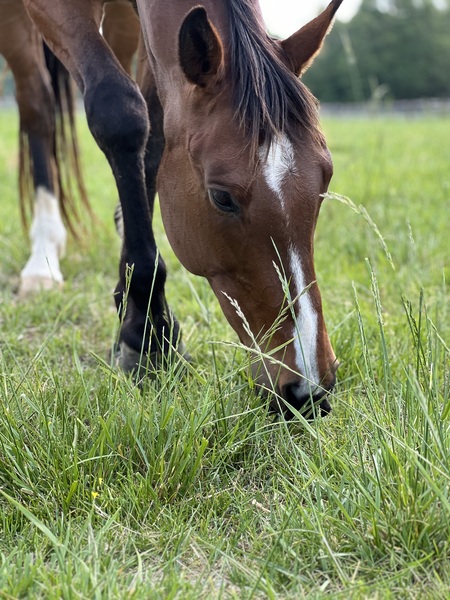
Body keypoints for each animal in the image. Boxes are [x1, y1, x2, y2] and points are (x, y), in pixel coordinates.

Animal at [22, 0, 342, 420]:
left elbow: (155, 139)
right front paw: (149, 335)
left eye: (326, 178)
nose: (310, 387)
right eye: (222, 197)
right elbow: (120, 115)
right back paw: (42, 259)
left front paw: (138, 317)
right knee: (37, 108)